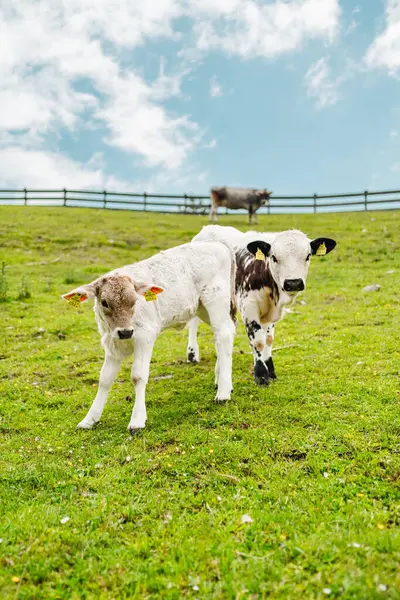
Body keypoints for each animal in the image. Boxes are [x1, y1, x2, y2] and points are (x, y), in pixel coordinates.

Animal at [63, 239, 238, 432]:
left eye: (134, 301)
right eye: (104, 302)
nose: (125, 332)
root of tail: (217, 243)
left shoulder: (144, 336)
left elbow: (138, 376)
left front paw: (137, 420)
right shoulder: (111, 343)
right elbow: (105, 379)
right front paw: (89, 419)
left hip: (216, 300)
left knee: (223, 334)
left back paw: (223, 392)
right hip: (201, 307)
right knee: (225, 332)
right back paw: (221, 380)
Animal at [186, 224, 336, 384]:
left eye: (308, 256)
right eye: (274, 257)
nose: (293, 283)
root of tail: (208, 228)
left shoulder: (269, 313)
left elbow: (268, 339)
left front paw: (270, 369)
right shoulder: (249, 307)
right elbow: (258, 341)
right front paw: (261, 374)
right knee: (193, 321)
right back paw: (192, 353)